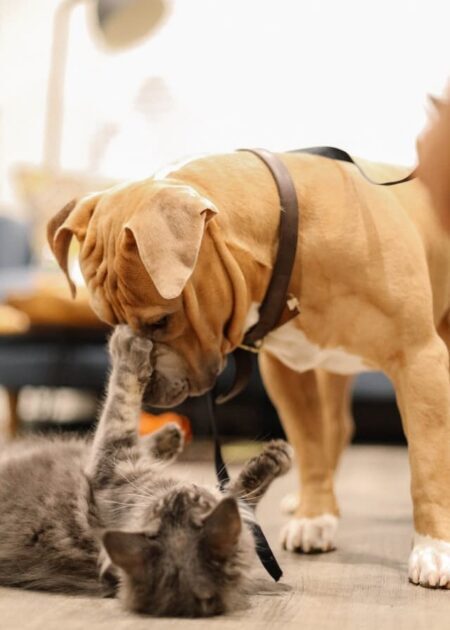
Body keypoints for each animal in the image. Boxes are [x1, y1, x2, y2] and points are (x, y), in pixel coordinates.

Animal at [0, 326, 292, 616]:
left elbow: (120, 404)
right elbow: (122, 405)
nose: (186, 489)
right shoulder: (114, 467)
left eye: (194, 501)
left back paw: (168, 438)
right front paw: (273, 458)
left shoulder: (114, 464)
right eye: (161, 508)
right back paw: (169, 436)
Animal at [47, 151, 450, 592]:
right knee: (335, 429)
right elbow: (310, 444)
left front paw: (434, 547)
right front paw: (314, 516)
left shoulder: (419, 358)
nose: (144, 386)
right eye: (109, 321)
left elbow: (427, 465)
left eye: (161, 321)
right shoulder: (289, 374)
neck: (287, 239)